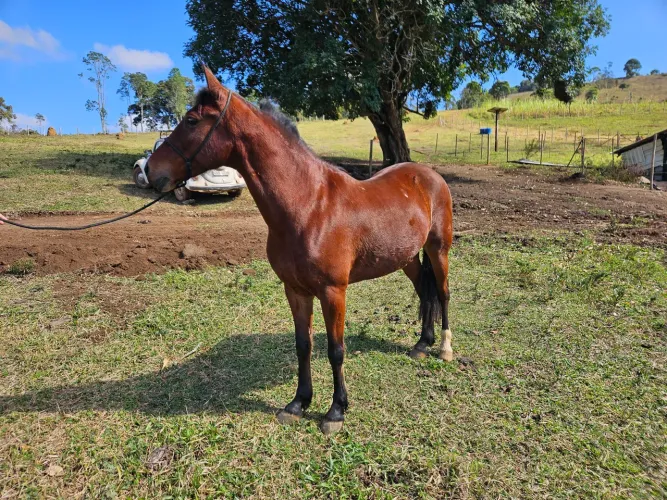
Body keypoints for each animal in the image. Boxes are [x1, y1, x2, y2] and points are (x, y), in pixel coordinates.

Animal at [145, 65, 454, 435]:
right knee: (424, 289)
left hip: (438, 249)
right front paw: (298, 403)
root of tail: (429, 175)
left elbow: (335, 349)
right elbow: (303, 345)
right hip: (407, 257)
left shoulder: (334, 292)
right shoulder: (295, 290)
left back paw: (445, 348)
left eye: (192, 121)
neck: (308, 207)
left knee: (443, 292)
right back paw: (422, 344)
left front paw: (336, 411)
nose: (149, 170)